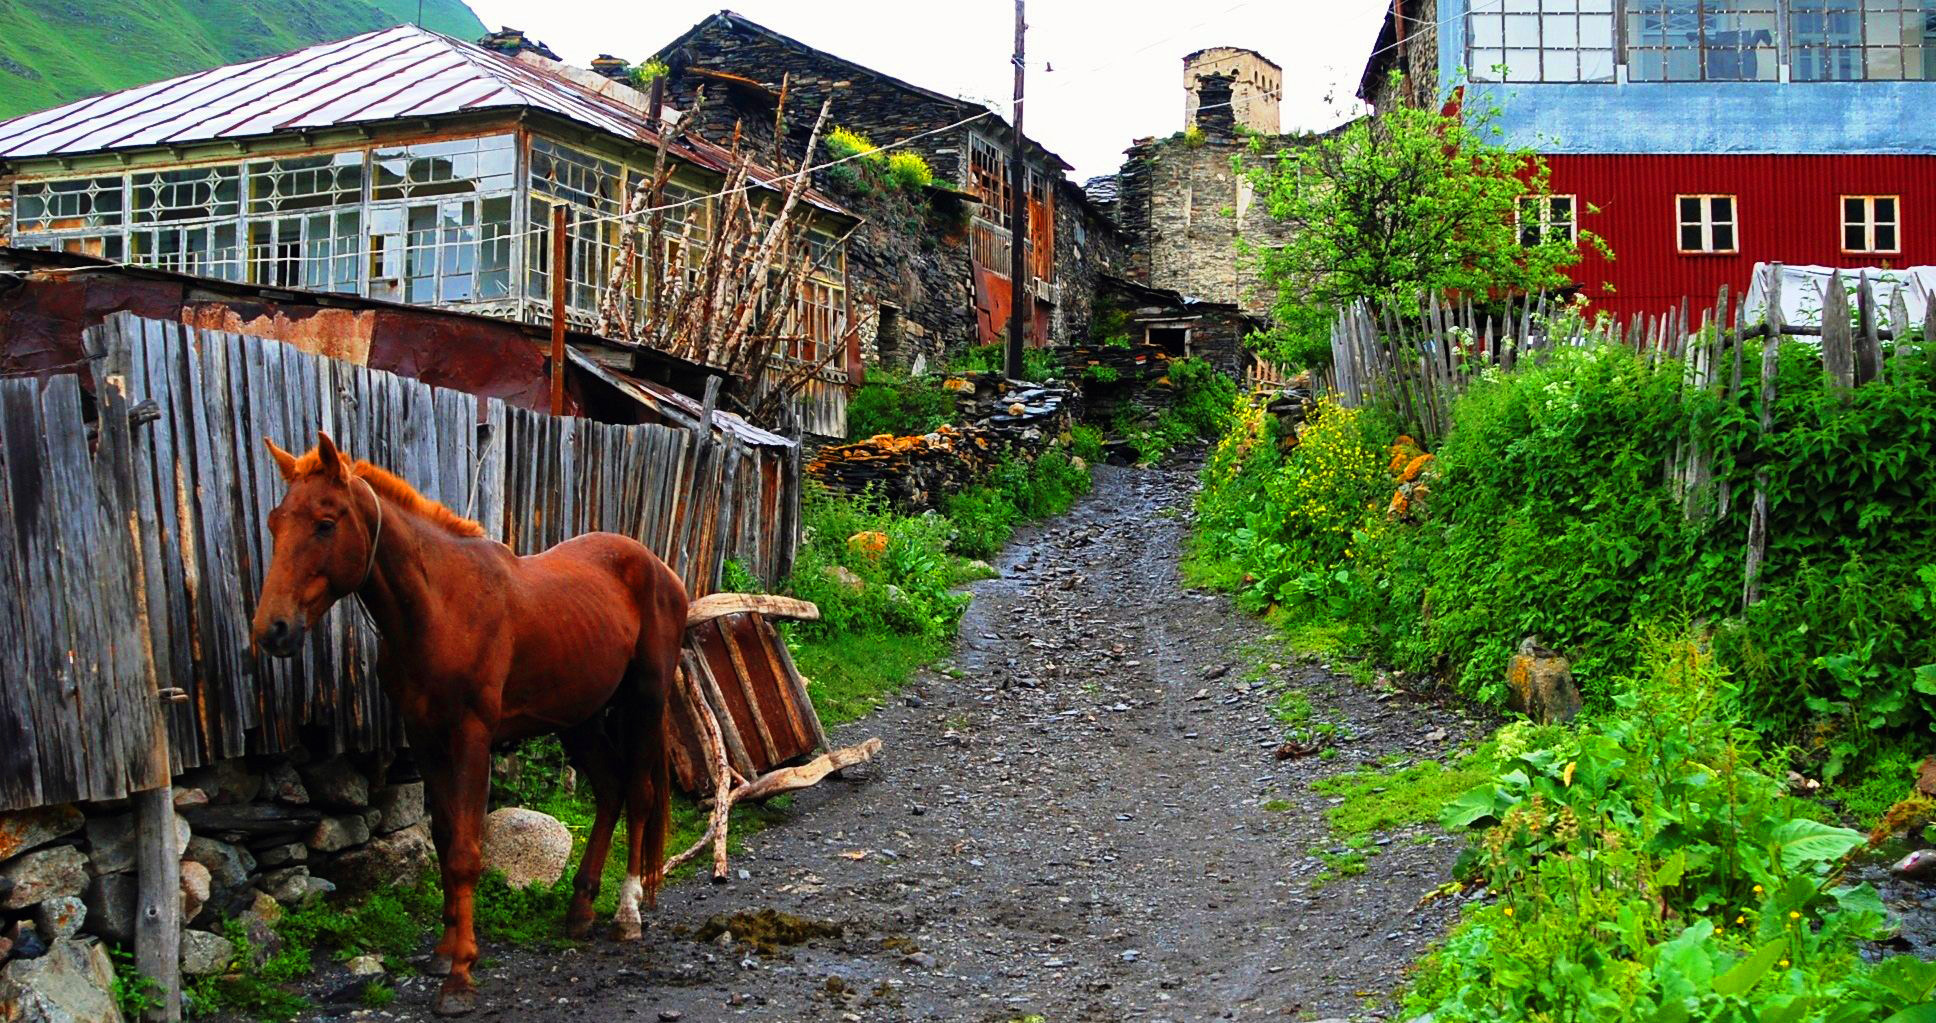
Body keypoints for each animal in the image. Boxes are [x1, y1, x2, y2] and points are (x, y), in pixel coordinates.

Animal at [250, 432, 687, 1016]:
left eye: (324, 523)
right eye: (275, 522)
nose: (272, 630)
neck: (442, 607)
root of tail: (658, 568)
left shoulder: (472, 737)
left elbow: (464, 852)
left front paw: (459, 975)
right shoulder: (425, 739)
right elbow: (442, 838)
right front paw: (443, 951)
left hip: (644, 703)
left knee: (638, 796)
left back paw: (626, 914)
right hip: (580, 718)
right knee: (611, 790)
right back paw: (580, 910)